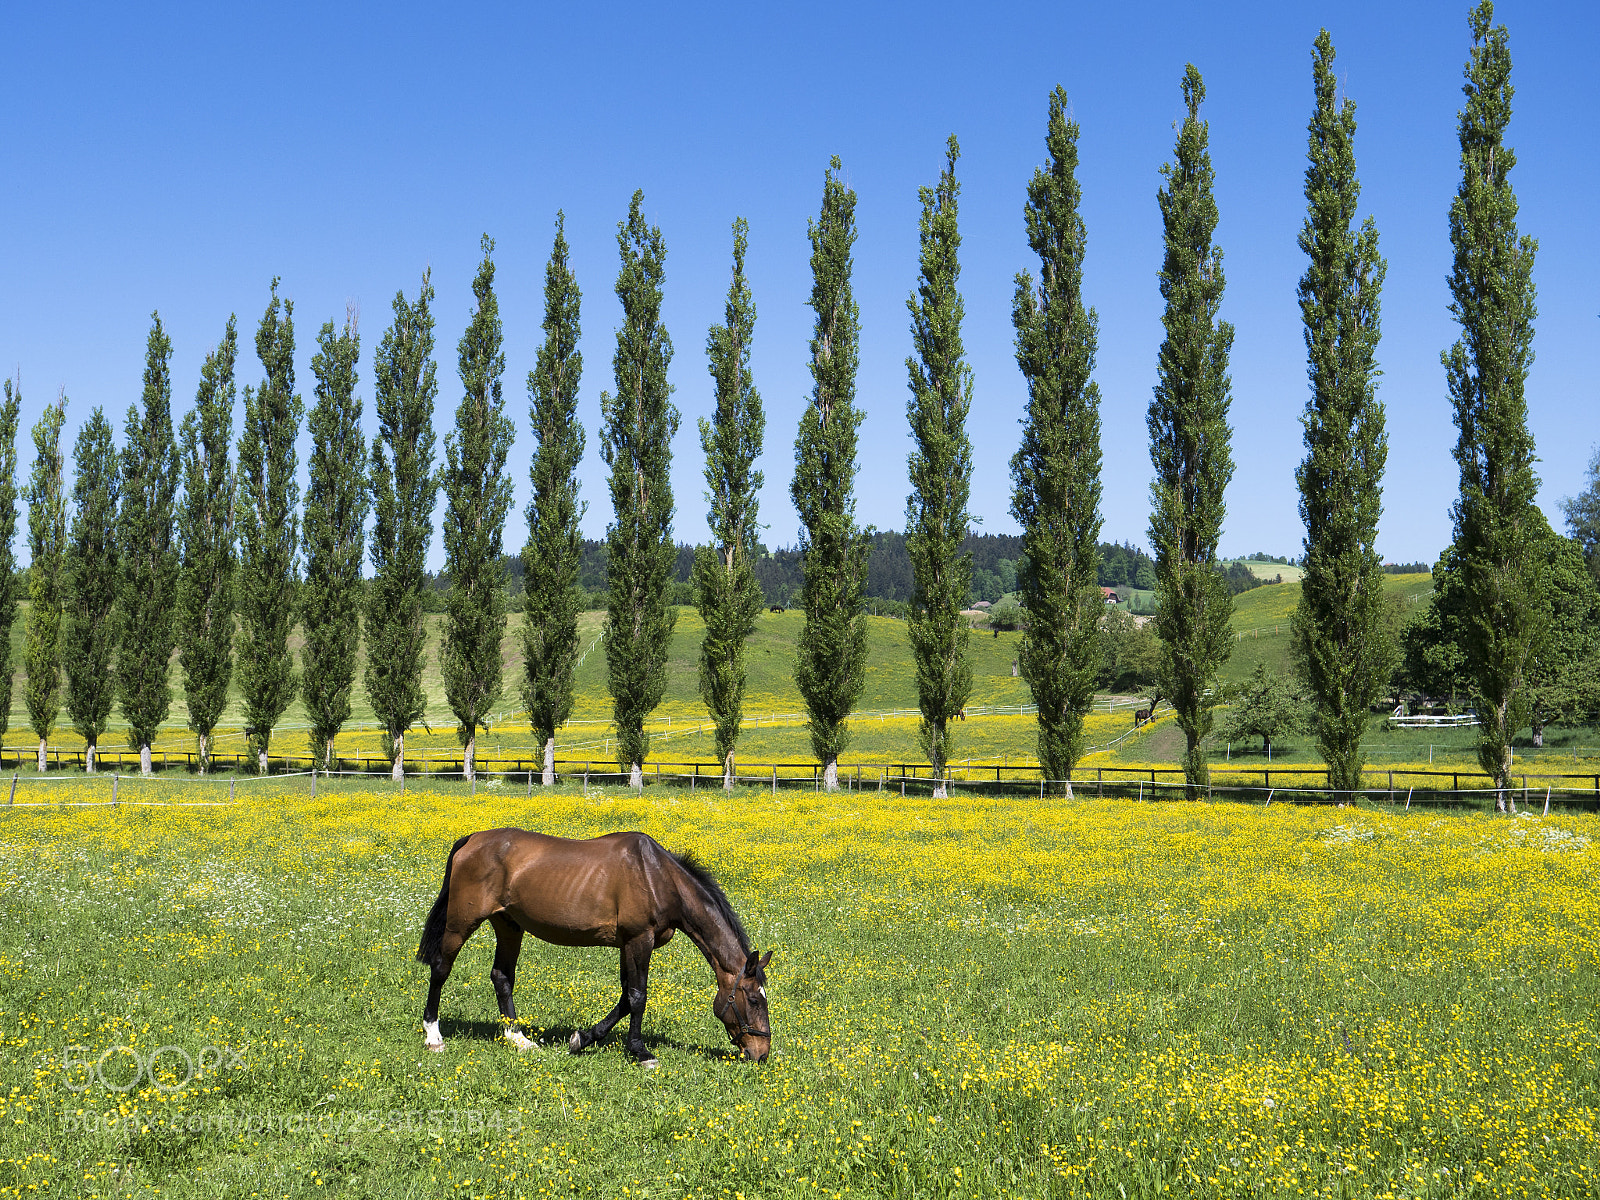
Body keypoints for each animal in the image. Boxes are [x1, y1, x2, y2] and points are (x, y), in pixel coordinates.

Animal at [415, 829, 772, 1067]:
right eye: (754, 1000)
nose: (761, 1053)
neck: (656, 876)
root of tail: (471, 840)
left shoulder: (627, 945)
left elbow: (625, 998)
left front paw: (582, 1039)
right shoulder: (639, 940)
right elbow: (637, 997)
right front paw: (640, 1051)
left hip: (508, 925)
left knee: (502, 977)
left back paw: (519, 1040)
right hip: (461, 922)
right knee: (440, 969)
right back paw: (433, 1036)